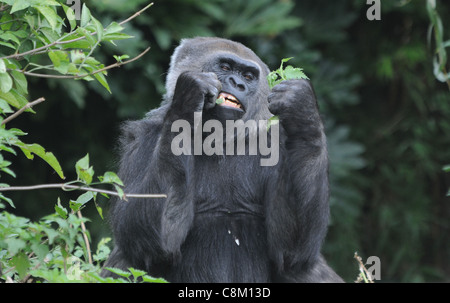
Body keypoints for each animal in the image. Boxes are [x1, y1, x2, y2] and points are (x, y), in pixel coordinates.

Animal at [102, 36, 342, 284]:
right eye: (225, 67)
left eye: (248, 76)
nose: (238, 84)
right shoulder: (143, 135)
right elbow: (147, 238)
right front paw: (189, 97)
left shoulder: (277, 143)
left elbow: (292, 252)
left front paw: (302, 111)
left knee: (303, 269)